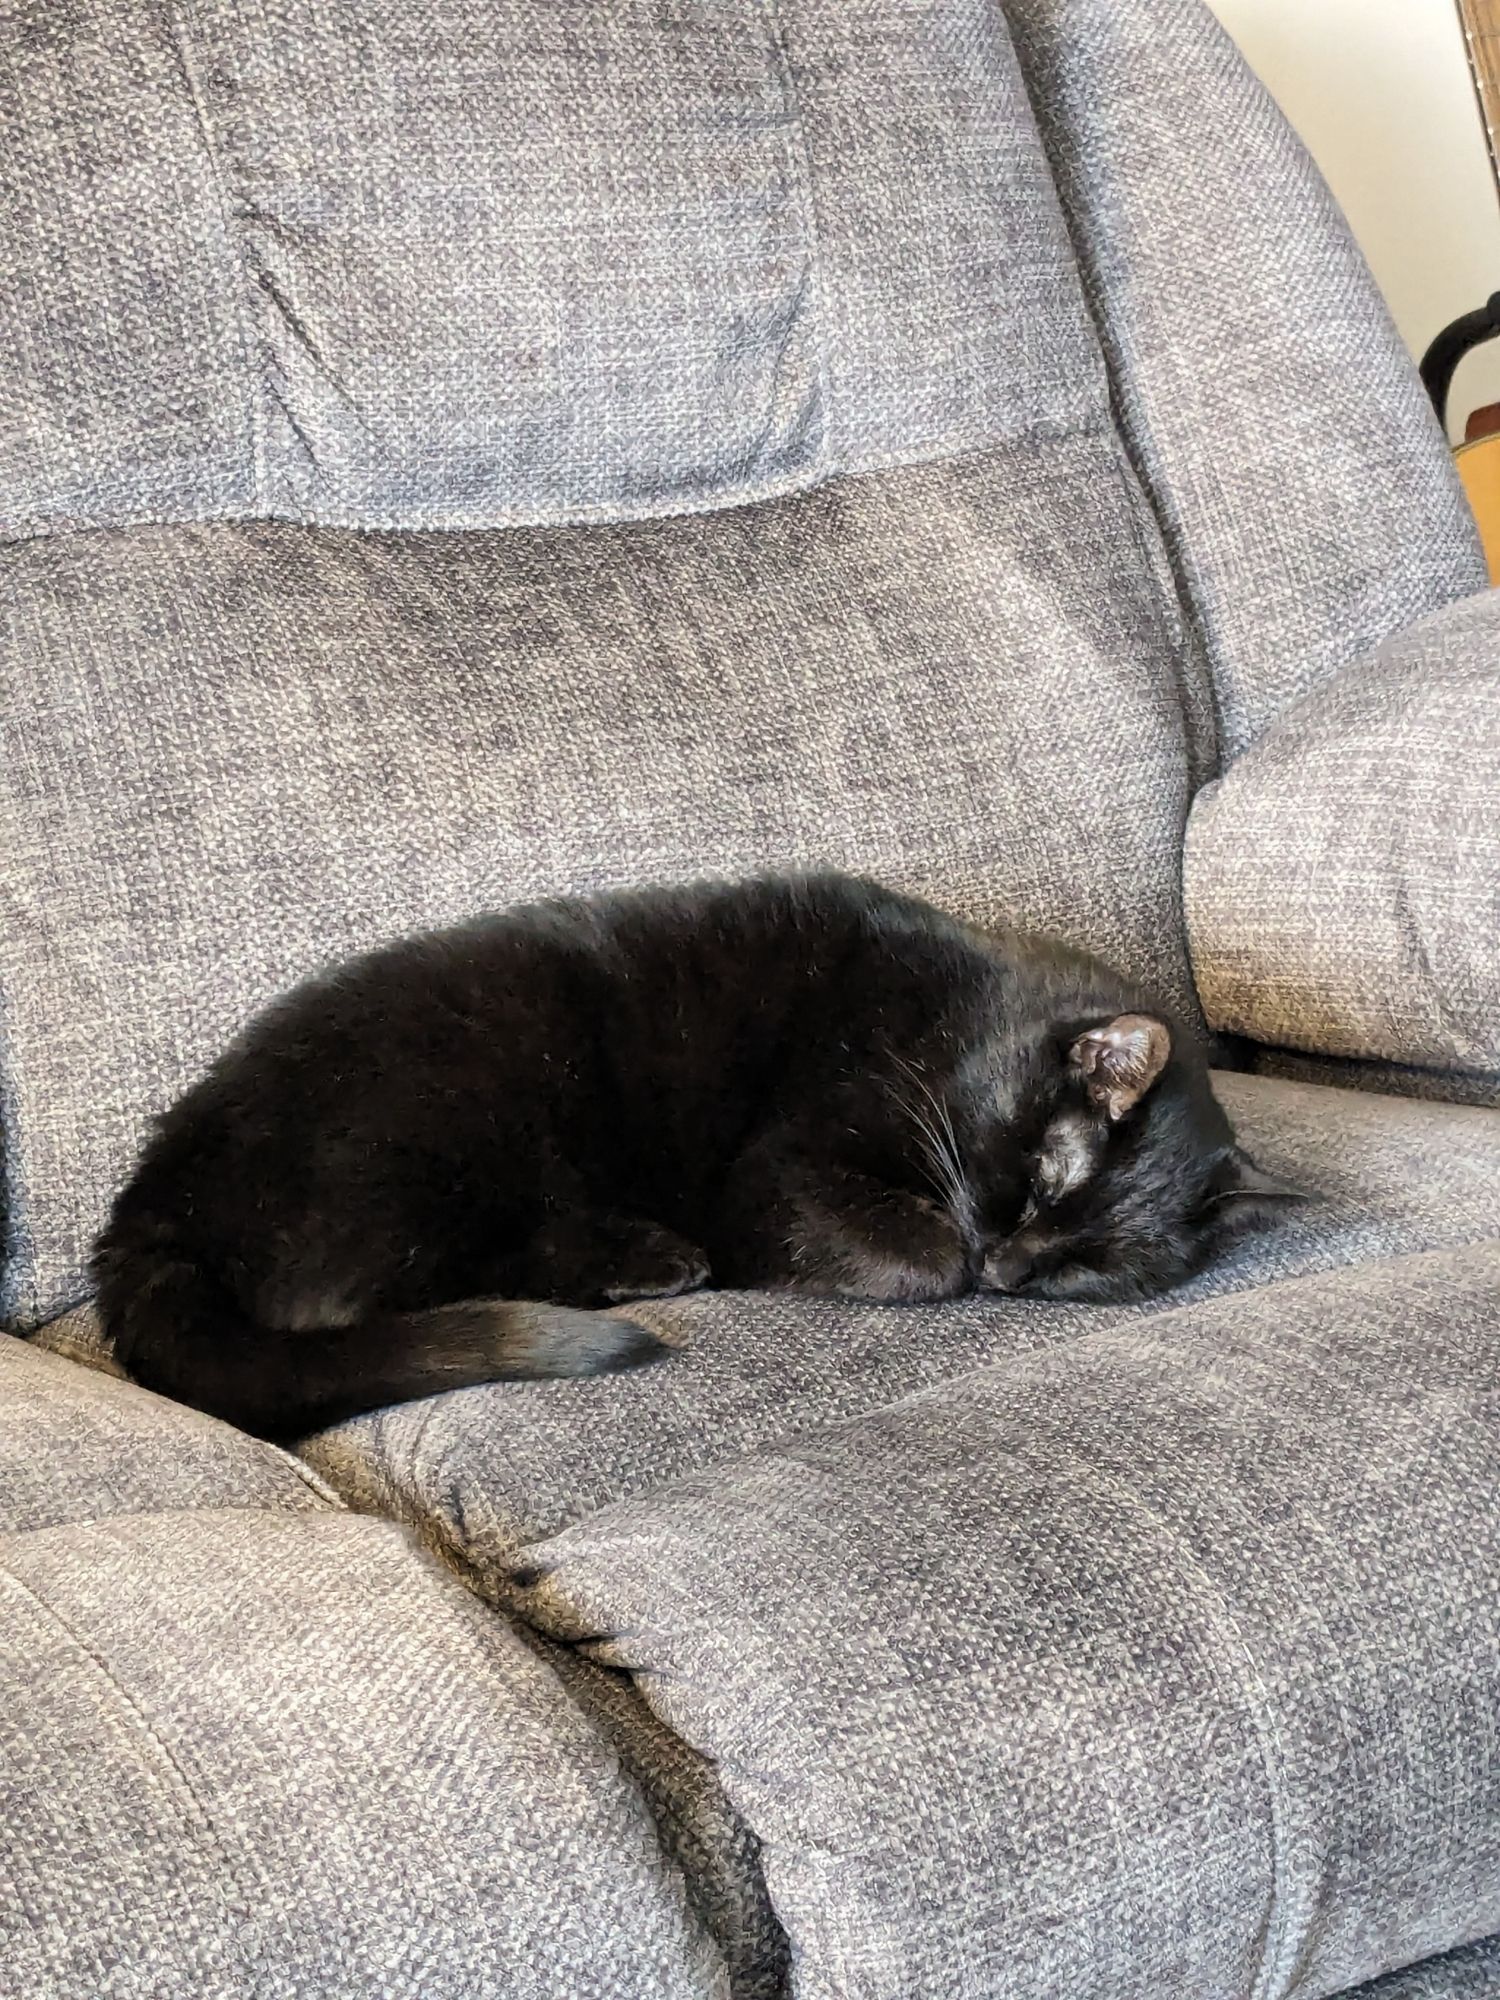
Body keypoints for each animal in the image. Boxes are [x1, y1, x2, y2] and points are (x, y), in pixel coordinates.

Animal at [94, 876, 1296, 1440]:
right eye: (1048, 1175)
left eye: (1088, 1269)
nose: (1010, 1268)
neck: (956, 1022)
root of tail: (153, 1197)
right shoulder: (784, 1170)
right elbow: (917, 1255)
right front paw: (942, 1256)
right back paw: (656, 1259)